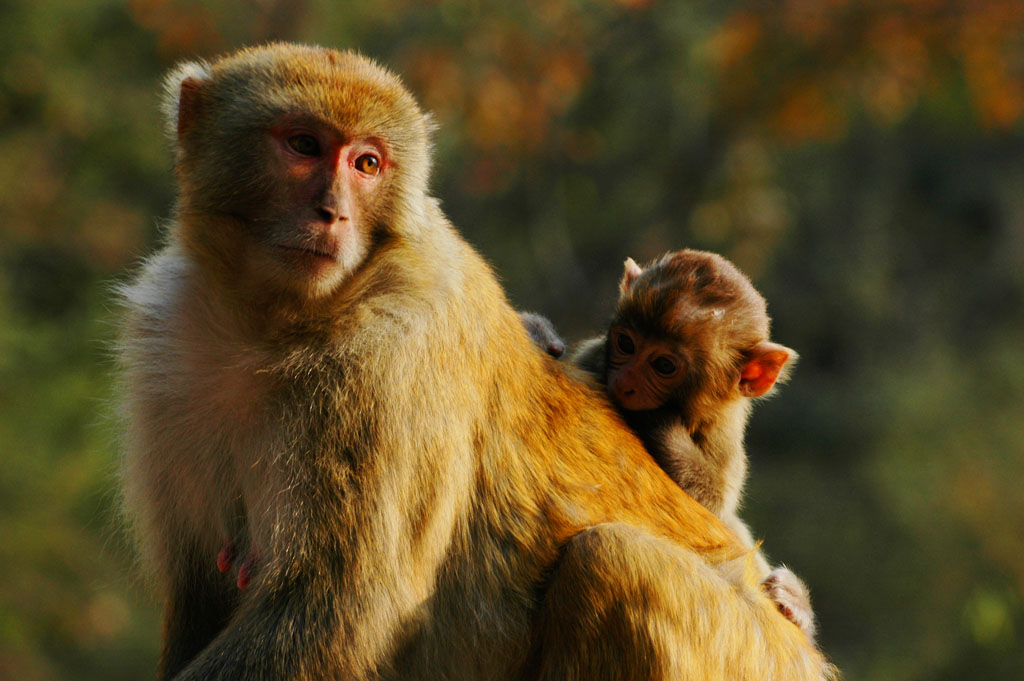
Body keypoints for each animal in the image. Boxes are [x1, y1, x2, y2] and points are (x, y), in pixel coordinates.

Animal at [528, 248, 815, 639]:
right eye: (626, 343)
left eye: (663, 365)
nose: (625, 382)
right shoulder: (593, 358)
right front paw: (539, 334)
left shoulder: (723, 434)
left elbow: (711, 507)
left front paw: (659, 424)